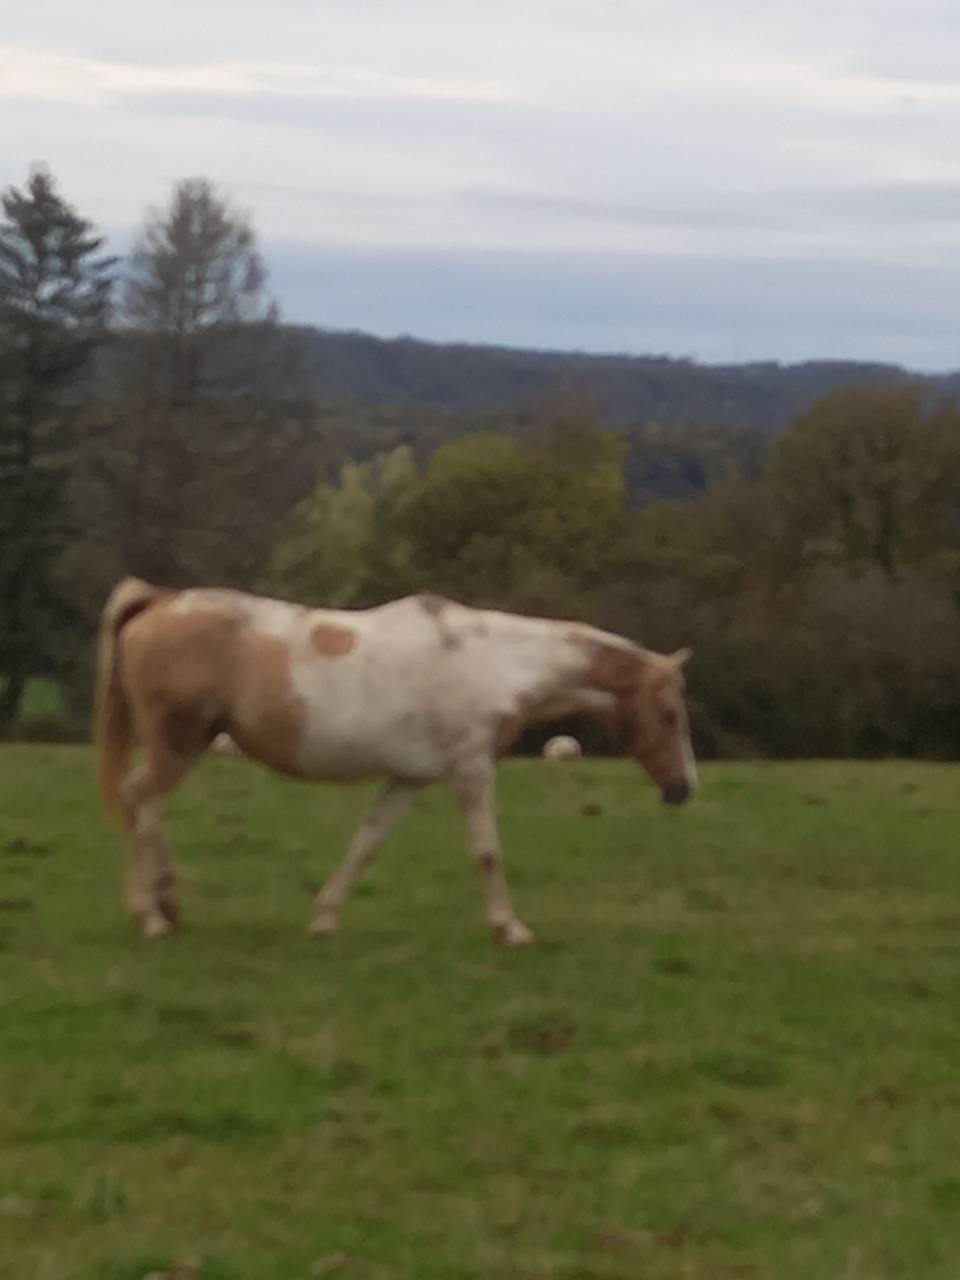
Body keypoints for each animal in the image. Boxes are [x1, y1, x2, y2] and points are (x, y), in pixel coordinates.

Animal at [94, 577, 696, 945]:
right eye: (669, 715)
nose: (683, 788)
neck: (493, 662)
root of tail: (160, 601)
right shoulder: (471, 767)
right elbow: (487, 852)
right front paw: (510, 928)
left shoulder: (409, 779)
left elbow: (366, 844)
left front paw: (325, 917)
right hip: (179, 743)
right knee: (141, 800)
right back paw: (151, 914)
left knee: (143, 805)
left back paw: (166, 900)